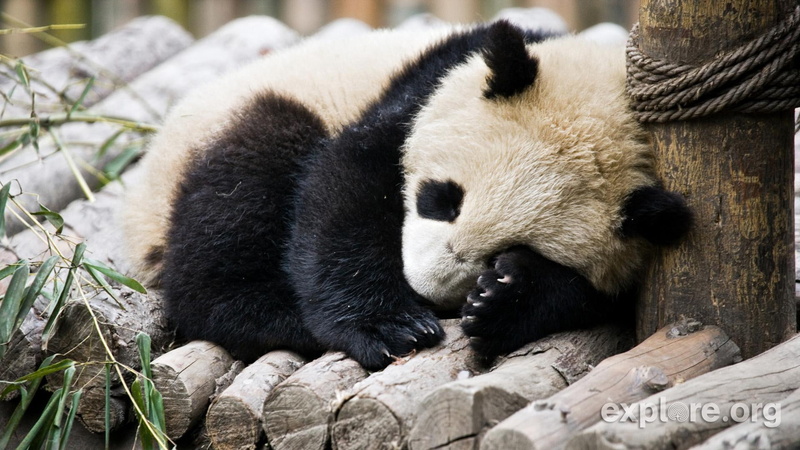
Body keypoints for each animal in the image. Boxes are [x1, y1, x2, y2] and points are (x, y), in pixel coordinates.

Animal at [123, 21, 691, 370]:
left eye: (514, 247)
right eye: (442, 198)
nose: (423, 286)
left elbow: (593, 296)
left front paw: (500, 297)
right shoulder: (428, 85)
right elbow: (347, 185)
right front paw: (391, 325)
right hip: (230, 127)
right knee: (238, 193)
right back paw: (277, 312)